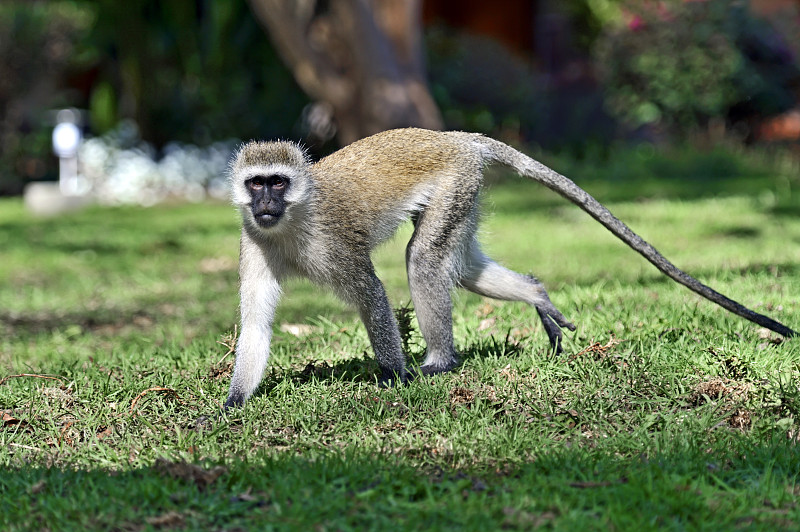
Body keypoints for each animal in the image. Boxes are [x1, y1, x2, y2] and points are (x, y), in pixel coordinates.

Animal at [222, 128, 796, 408]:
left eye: (278, 182)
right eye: (256, 184)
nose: (265, 203)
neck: (290, 221)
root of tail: (452, 136)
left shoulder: (333, 243)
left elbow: (370, 294)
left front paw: (394, 378)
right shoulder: (253, 241)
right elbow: (257, 323)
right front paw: (234, 402)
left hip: (456, 180)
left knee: (424, 260)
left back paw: (439, 362)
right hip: (465, 192)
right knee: (462, 266)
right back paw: (536, 294)